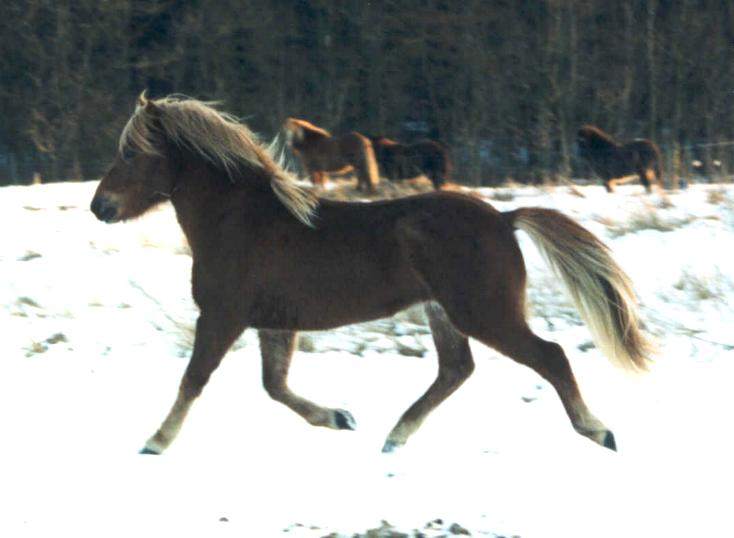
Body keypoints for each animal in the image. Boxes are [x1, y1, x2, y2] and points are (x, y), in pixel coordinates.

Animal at [93, 94, 656, 454]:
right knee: (456, 370)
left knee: (550, 357)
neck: (240, 220)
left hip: (483, 312)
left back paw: (599, 432)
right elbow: (275, 386)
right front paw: (340, 418)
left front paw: (154, 442)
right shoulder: (274, 323)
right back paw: (394, 437)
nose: (100, 206)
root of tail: (503, 218)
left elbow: (195, 380)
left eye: (131, 152)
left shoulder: (222, 316)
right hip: (443, 312)